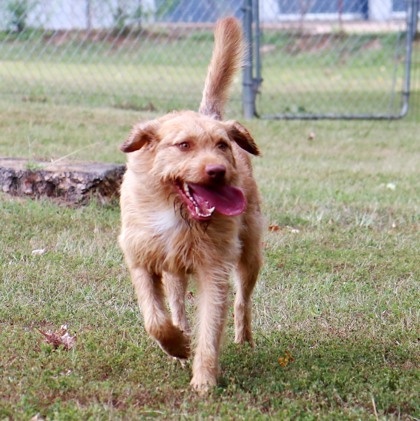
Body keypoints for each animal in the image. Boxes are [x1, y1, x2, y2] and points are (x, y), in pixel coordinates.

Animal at [119, 17, 262, 390]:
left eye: (222, 144)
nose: (218, 171)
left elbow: (211, 328)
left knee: (242, 301)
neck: (177, 213)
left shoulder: (214, 270)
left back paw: (244, 338)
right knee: (177, 302)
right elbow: (155, 319)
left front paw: (204, 380)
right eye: (183, 144)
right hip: (174, 271)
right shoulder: (141, 260)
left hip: (250, 254)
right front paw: (177, 345)